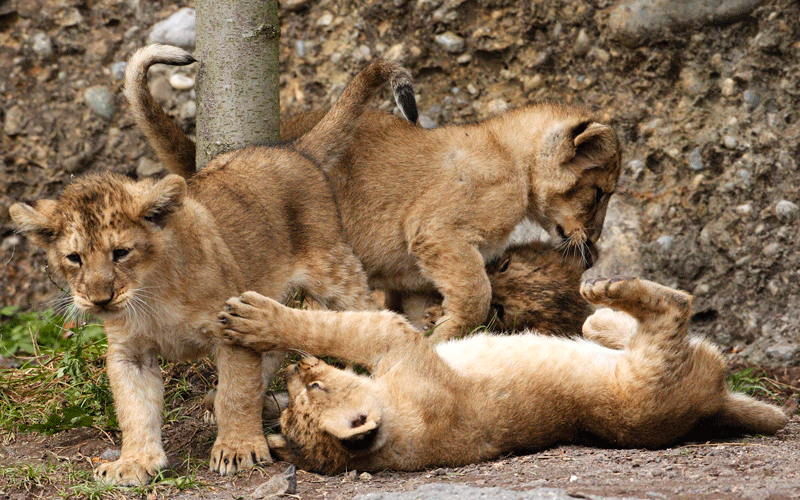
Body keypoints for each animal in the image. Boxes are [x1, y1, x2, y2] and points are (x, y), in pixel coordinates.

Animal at [8, 44, 417, 485]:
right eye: (74, 258)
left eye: (121, 253)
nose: (100, 300)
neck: (152, 295)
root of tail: (293, 148)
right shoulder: (129, 353)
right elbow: (134, 408)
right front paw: (134, 462)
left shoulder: (229, 330)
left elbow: (236, 393)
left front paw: (238, 450)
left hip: (334, 270)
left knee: (369, 316)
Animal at [215, 277, 789, 474]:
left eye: (309, 390)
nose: (297, 368)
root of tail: (713, 406)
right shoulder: (393, 338)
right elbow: (333, 328)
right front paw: (257, 320)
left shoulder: (397, 342)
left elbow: (331, 328)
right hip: (654, 376)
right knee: (677, 308)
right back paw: (607, 293)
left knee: (605, 323)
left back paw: (601, 309)